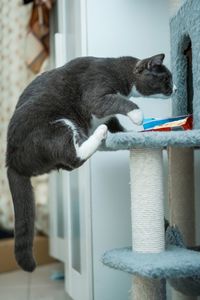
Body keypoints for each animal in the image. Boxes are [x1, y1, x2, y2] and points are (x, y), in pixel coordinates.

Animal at [6, 53, 173, 272]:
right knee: (73, 156)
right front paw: (138, 117)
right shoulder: (97, 94)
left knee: (70, 161)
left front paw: (135, 135)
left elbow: (118, 126)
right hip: (54, 127)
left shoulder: (108, 116)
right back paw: (99, 133)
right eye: (166, 79)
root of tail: (12, 162)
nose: (175, 88)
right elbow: (117, 103)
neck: (118, 71)